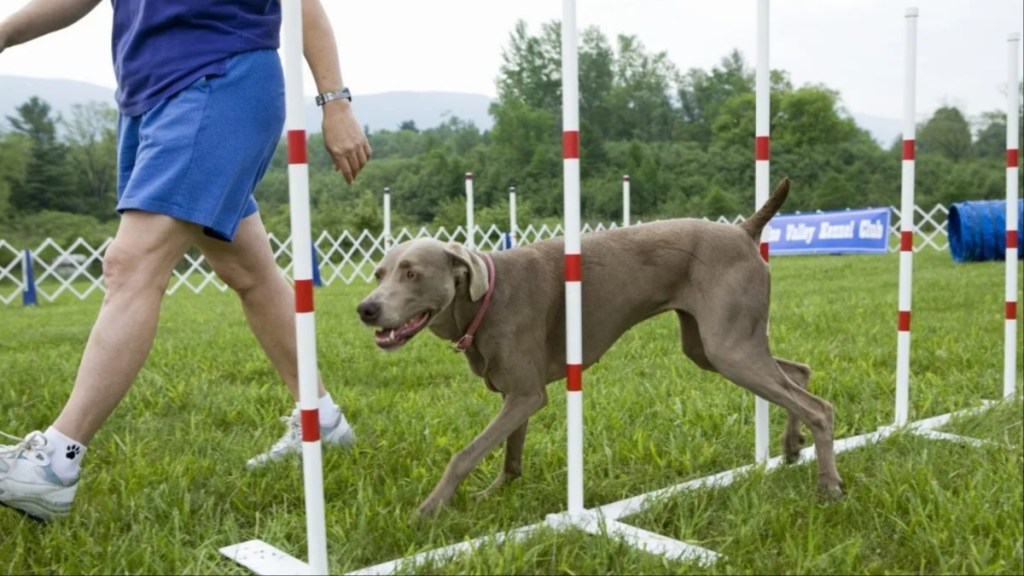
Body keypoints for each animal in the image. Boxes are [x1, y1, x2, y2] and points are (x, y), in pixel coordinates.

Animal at [356, 177, 843, 512]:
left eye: (412, 273)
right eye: (379, 273)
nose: (366, 309)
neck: (485, 298)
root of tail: (743, 230)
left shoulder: (527, 394)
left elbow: (464, 454)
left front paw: (429, 509)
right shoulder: (516, 393)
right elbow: (510, 453)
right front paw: (494, 493)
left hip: (728, 347)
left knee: (819, 407)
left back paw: (828, 486)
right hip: (711, 345)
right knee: (798, 373)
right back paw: (791, 446)